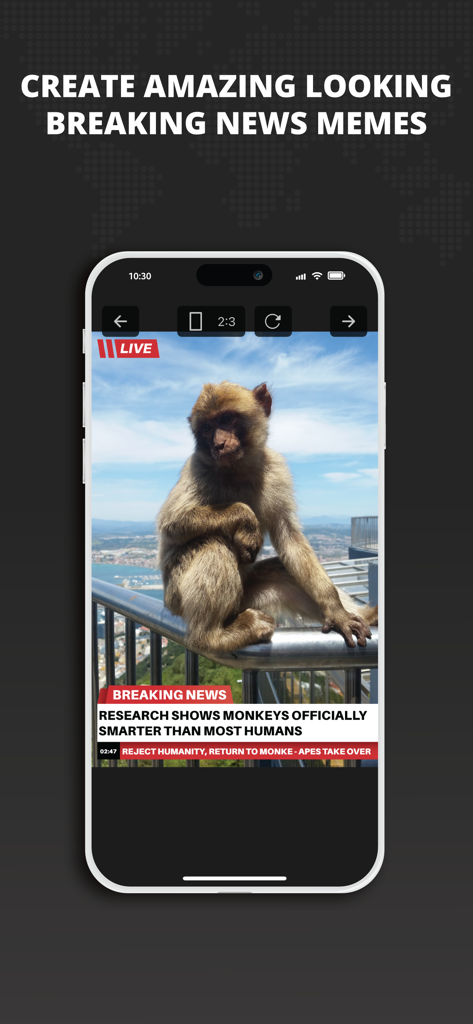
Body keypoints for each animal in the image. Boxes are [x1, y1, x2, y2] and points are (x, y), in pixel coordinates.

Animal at [157, 381, 378, 655]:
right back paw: (212, 637)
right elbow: (173, 524)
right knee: (214, 544)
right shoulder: (197, 467)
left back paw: (366, 615)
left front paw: (337, 612)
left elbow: (289, 539)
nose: (218, 444)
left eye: (226, 419)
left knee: (281, 570)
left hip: (247, 597)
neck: (238, 468)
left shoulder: (276, 470)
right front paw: (246, 520)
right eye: (207, 428)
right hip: (176, 595)